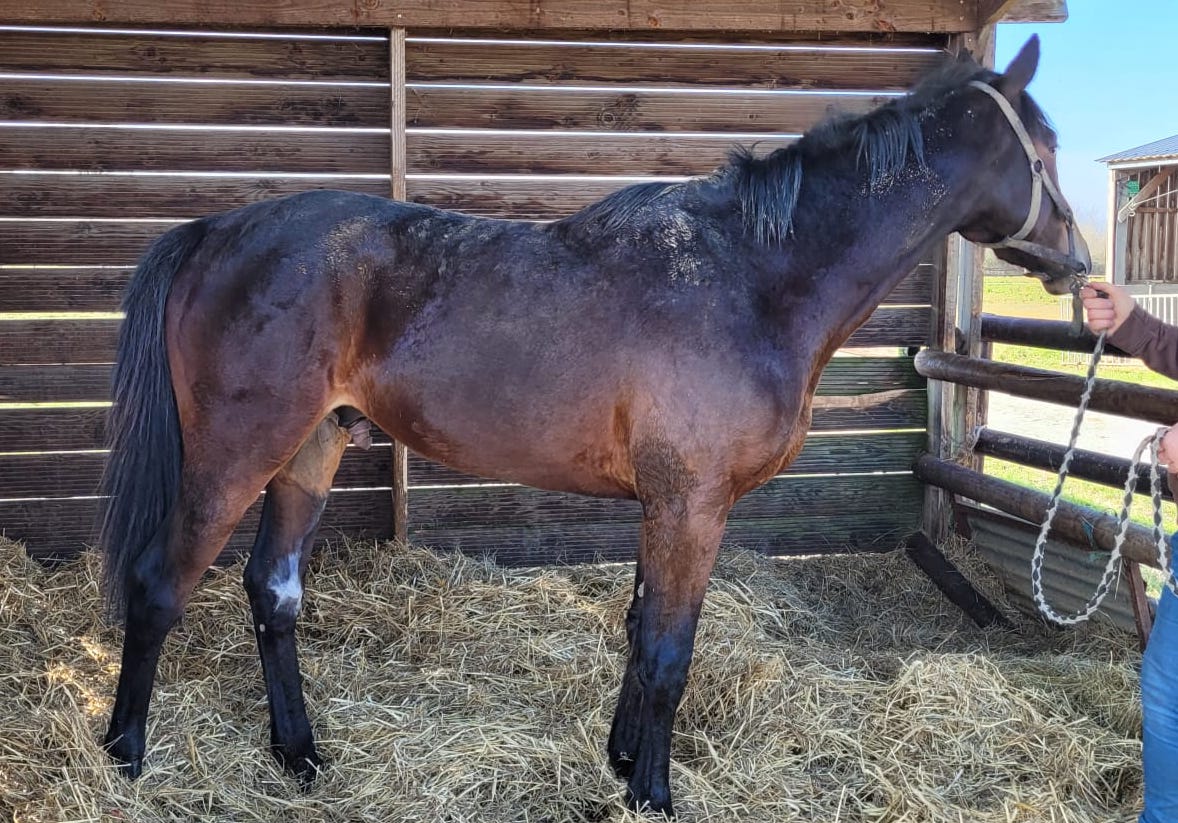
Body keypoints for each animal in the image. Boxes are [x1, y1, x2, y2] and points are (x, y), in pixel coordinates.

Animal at [98, 37, 1083, 819]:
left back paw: (299, 754)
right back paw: (125, 753)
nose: (1074, 259)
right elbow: (670, 650)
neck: (751, 275)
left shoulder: (664, 504)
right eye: (1043, 146)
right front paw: (654, 793)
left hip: (312, 449)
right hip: (234, 458)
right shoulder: (692, 504)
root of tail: (215, 230)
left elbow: (639, 628)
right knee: (158, 585)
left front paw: (621, 760)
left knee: (274, 592)